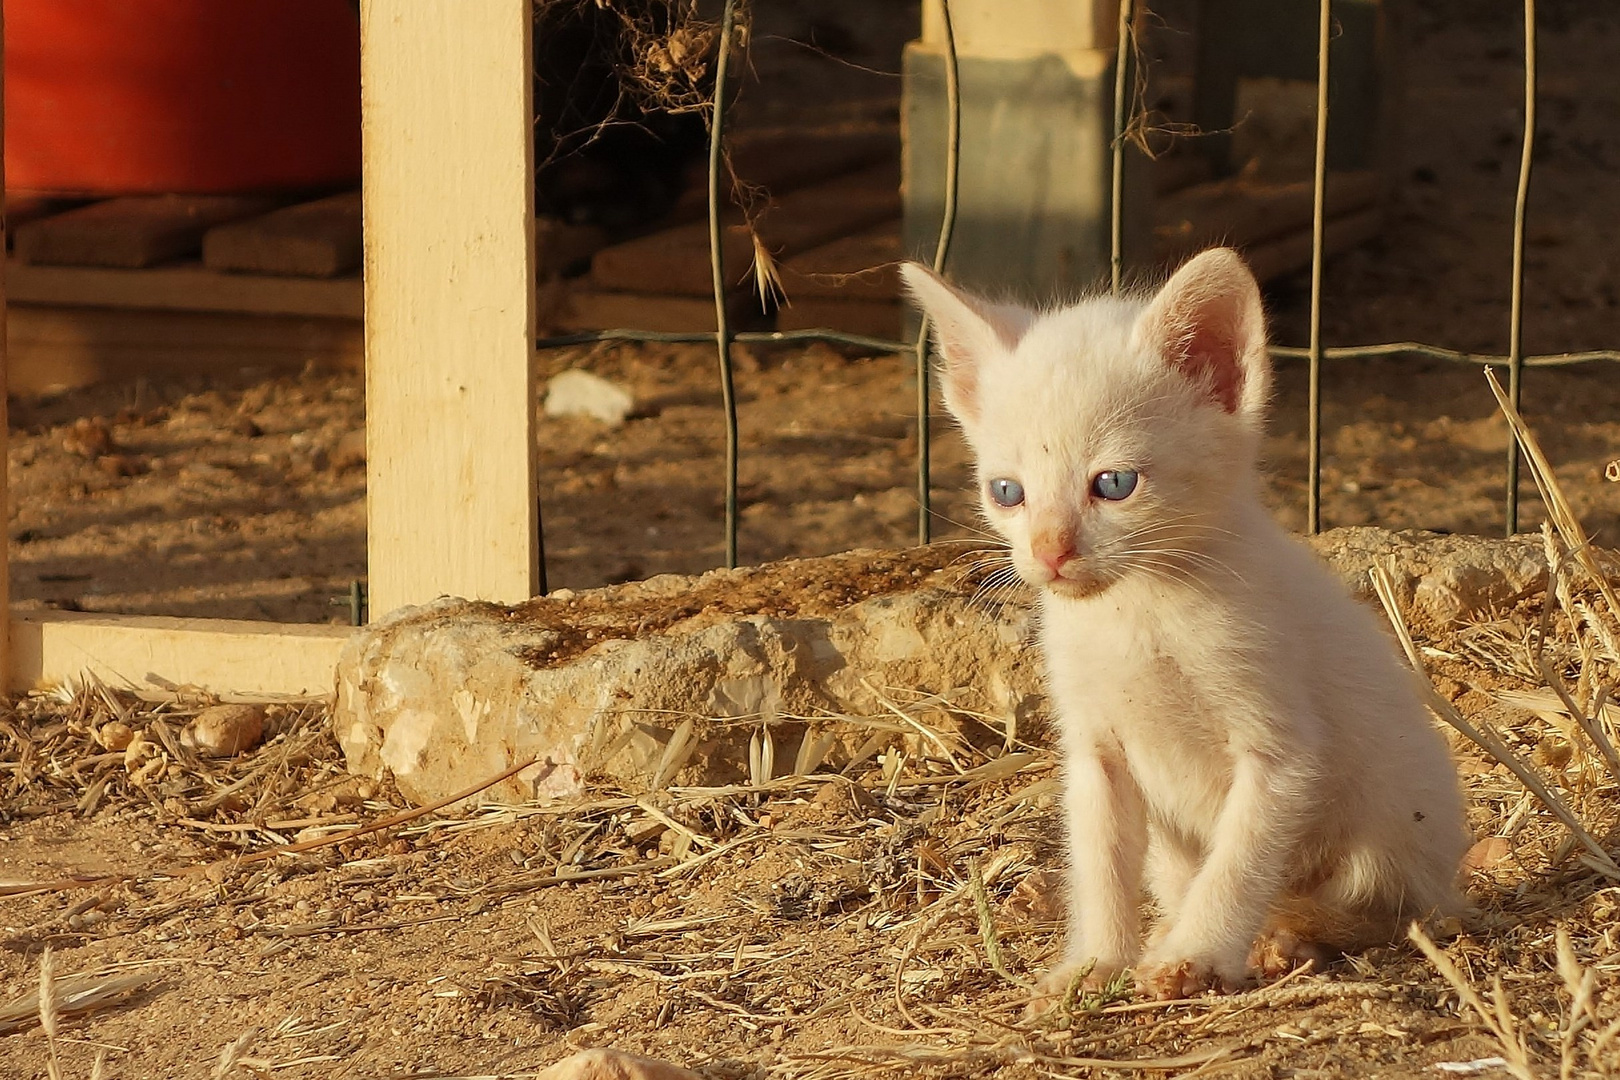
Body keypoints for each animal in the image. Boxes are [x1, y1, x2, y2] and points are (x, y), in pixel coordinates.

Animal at [907, 249, 1477, 1003]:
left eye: (1114, 484)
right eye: (1007, 493)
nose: (1050, 552)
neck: (1138, 611)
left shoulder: (1281, 749)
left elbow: (1238, 860)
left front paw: (1197, 953)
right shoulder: (1096, 751)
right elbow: (1101, 863)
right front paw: (1097, 960)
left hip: (1392, 840)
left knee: (1387, 910)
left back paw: (1289, 935)